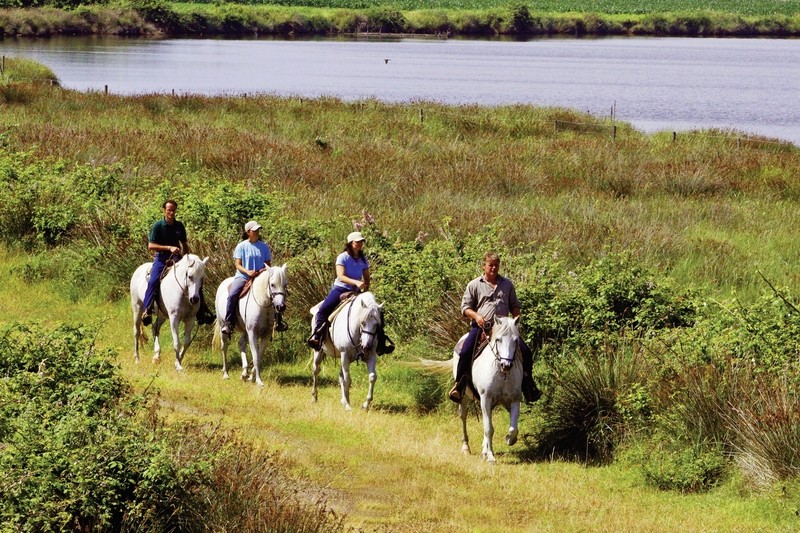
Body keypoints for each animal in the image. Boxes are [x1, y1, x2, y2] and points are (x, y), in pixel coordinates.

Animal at [456, 316, 524, 462]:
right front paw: (491, 457)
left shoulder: (514, 400)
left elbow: (514, 428)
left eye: (516, 340)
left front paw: (510, 439)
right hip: (464, 396)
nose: (506, 365)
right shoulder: (485, 398)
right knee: (463, 416)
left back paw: (483, 451)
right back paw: (466, 448)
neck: (501, 373)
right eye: (498, 339)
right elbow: (489, 429)